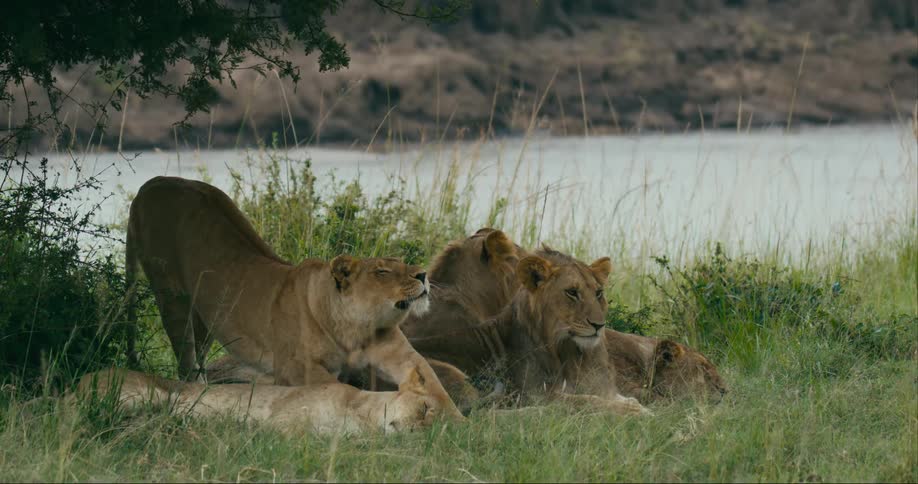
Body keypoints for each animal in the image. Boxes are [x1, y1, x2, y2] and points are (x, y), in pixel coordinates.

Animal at [125, 176, 463, 421]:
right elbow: (336, 389)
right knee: (185, 357)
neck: (355, 331)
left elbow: (433, 382)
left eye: (402, 264)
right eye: (382, 271)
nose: (423, 274)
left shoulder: (400, 354)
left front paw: (458, 424)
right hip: (172, 297)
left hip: (205, 313)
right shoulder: (296, 369)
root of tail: (151, 183)